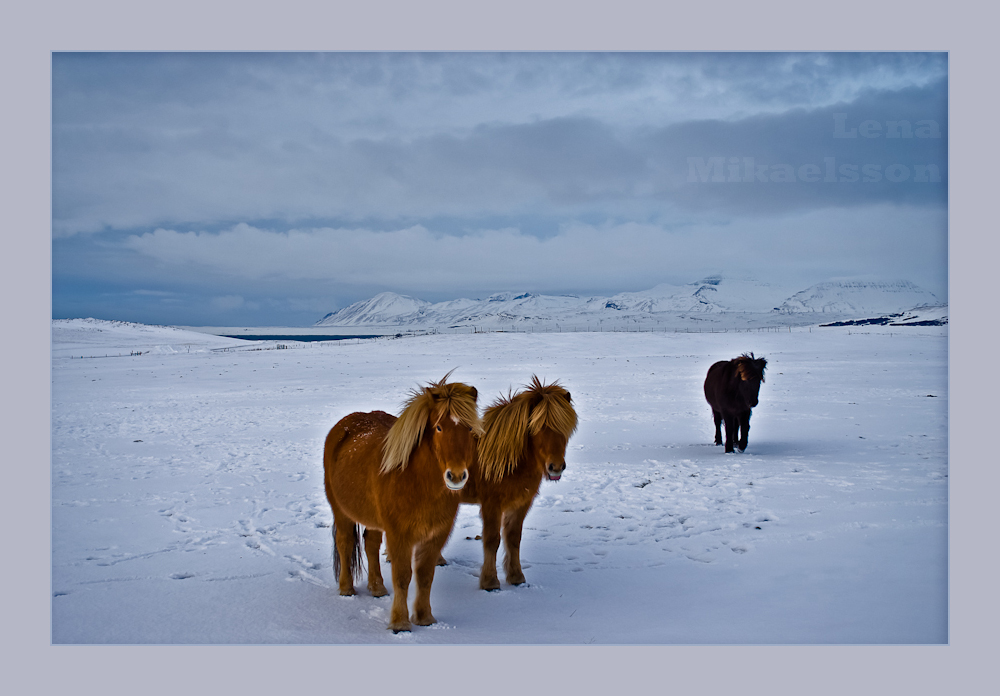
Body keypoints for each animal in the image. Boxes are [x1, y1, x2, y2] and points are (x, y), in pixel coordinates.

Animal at [322, 376, 482, 632]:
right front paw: (399, 622)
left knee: (371, 544)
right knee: (344, 542)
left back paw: (377, 587)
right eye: (439, 427)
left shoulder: (436, 535)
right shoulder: (399, 534)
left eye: (469, 428)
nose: (456, 476)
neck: (416, 481)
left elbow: (425, 576)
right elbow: (402, 576)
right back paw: (346, 589)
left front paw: (425, 618)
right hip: (341, 510)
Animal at [456, 378, 576, 588]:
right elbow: (492, 540)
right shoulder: (491, 504)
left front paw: (516, 577)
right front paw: (490, 582)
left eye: (565, 428)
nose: (555, 467)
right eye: (539, 427)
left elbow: (513, 539)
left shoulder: (521, 503)